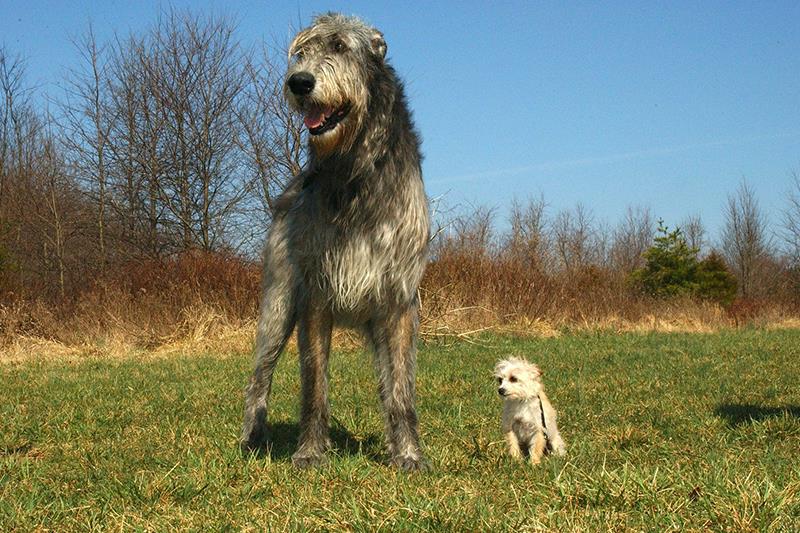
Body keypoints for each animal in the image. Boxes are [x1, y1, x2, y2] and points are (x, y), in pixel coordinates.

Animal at [241, 12, 432, 470]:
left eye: (341, 47)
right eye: (301, 53)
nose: (299, 82)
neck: (354, 169)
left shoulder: (400, 300)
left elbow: (401, 390)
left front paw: (409, 454)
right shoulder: (315, 295)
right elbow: (314, 384)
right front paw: (310, 452)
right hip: (277, 304)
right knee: (260, 375)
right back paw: (253, 437)